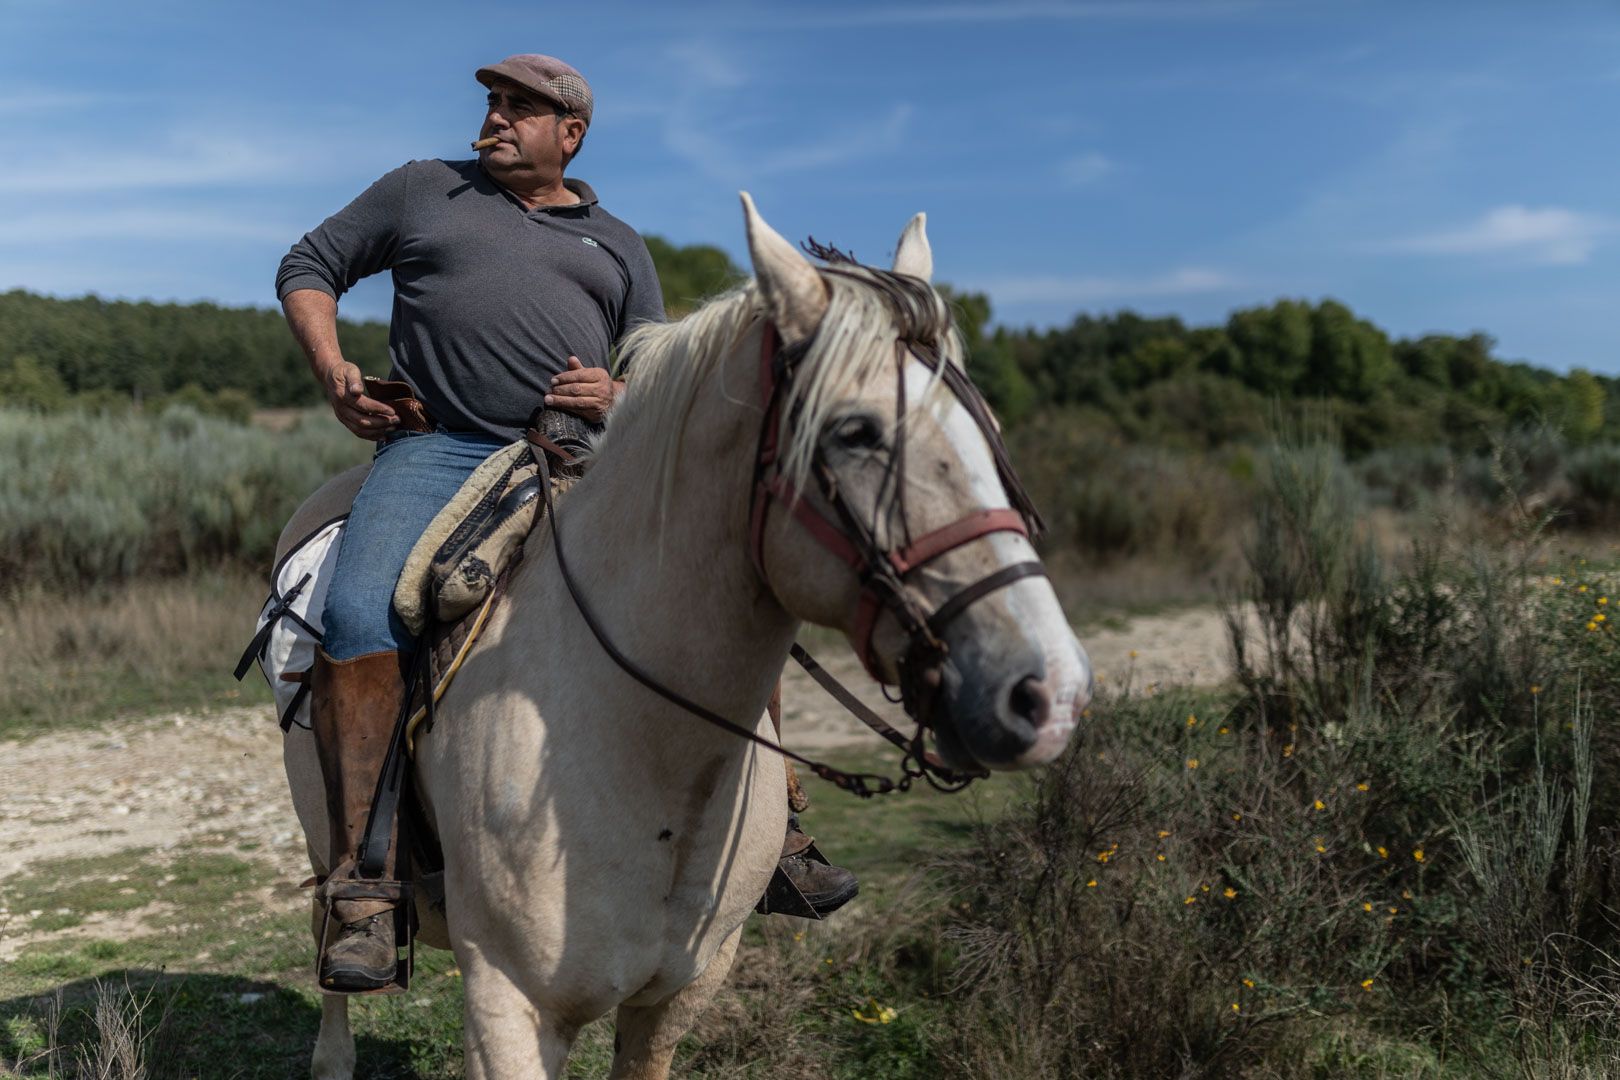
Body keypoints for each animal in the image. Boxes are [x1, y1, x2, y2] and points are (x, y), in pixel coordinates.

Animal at [278, 196, 1095, 1080]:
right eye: (855, 432)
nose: (1048, 691)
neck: (641, 744)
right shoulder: (506, 1005)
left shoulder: (680, 993)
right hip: (328, 849)